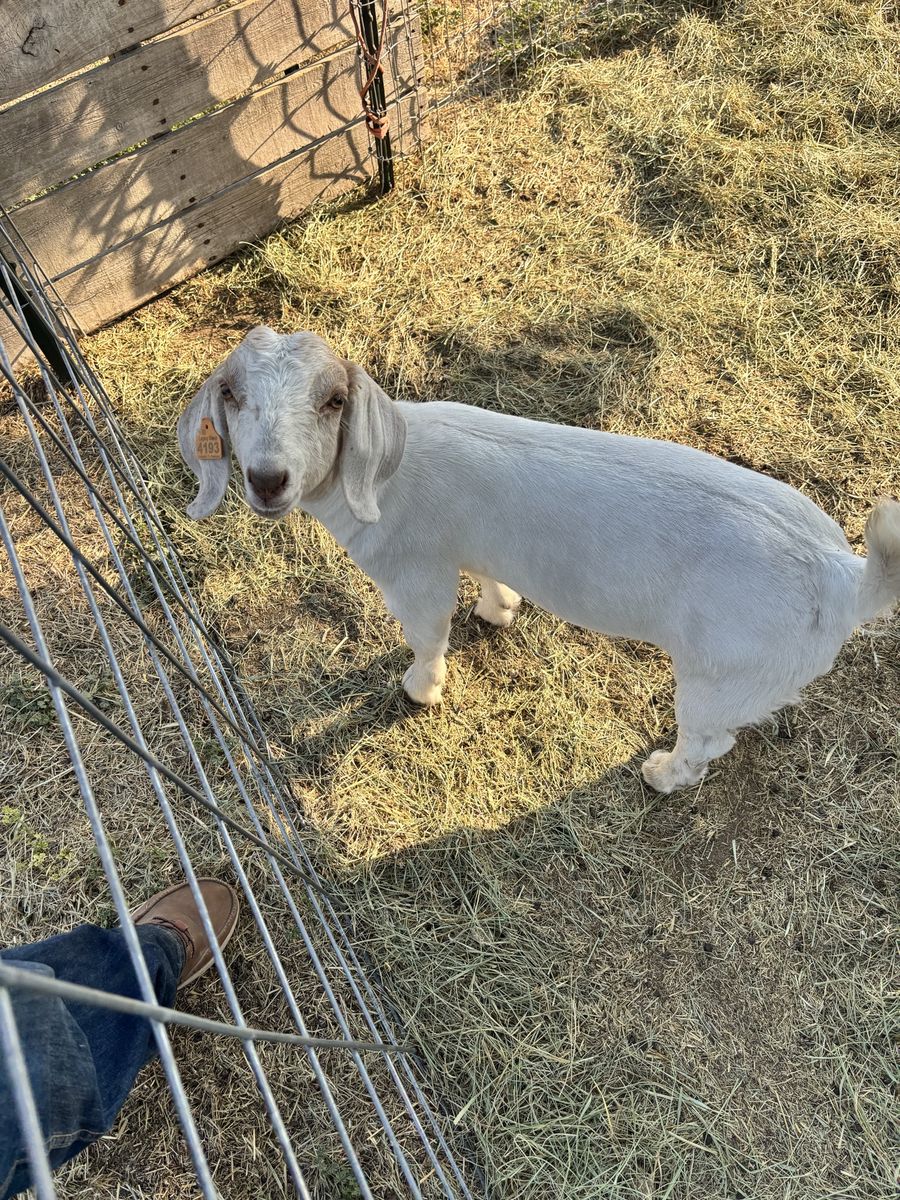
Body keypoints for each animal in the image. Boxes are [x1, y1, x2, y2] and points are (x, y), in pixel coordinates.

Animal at [178, 326, 900, 792]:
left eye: (333, 402)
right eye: (232, 395)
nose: (267, 480)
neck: (379, 474)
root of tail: (842, 575)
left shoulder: (414, 570)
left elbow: (427, 634)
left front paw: (421, 690)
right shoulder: (471, 542)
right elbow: (490, 576)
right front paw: (499, 610)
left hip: (726, 674)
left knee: (708, 738)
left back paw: (663, 774)